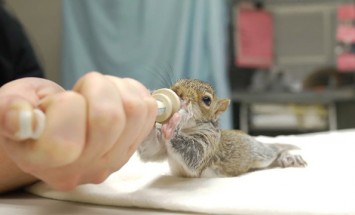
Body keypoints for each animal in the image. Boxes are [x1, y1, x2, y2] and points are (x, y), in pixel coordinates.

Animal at [138, 80, 308, 177]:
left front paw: (179, 117)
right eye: (177, 83)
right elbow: (150, 150)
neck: (187, 129)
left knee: (275, 151)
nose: (177, 92)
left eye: (207, 100)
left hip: (259, 155)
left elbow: (194, 155)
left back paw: (289, 157)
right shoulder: (159, 148)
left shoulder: (209, 143)